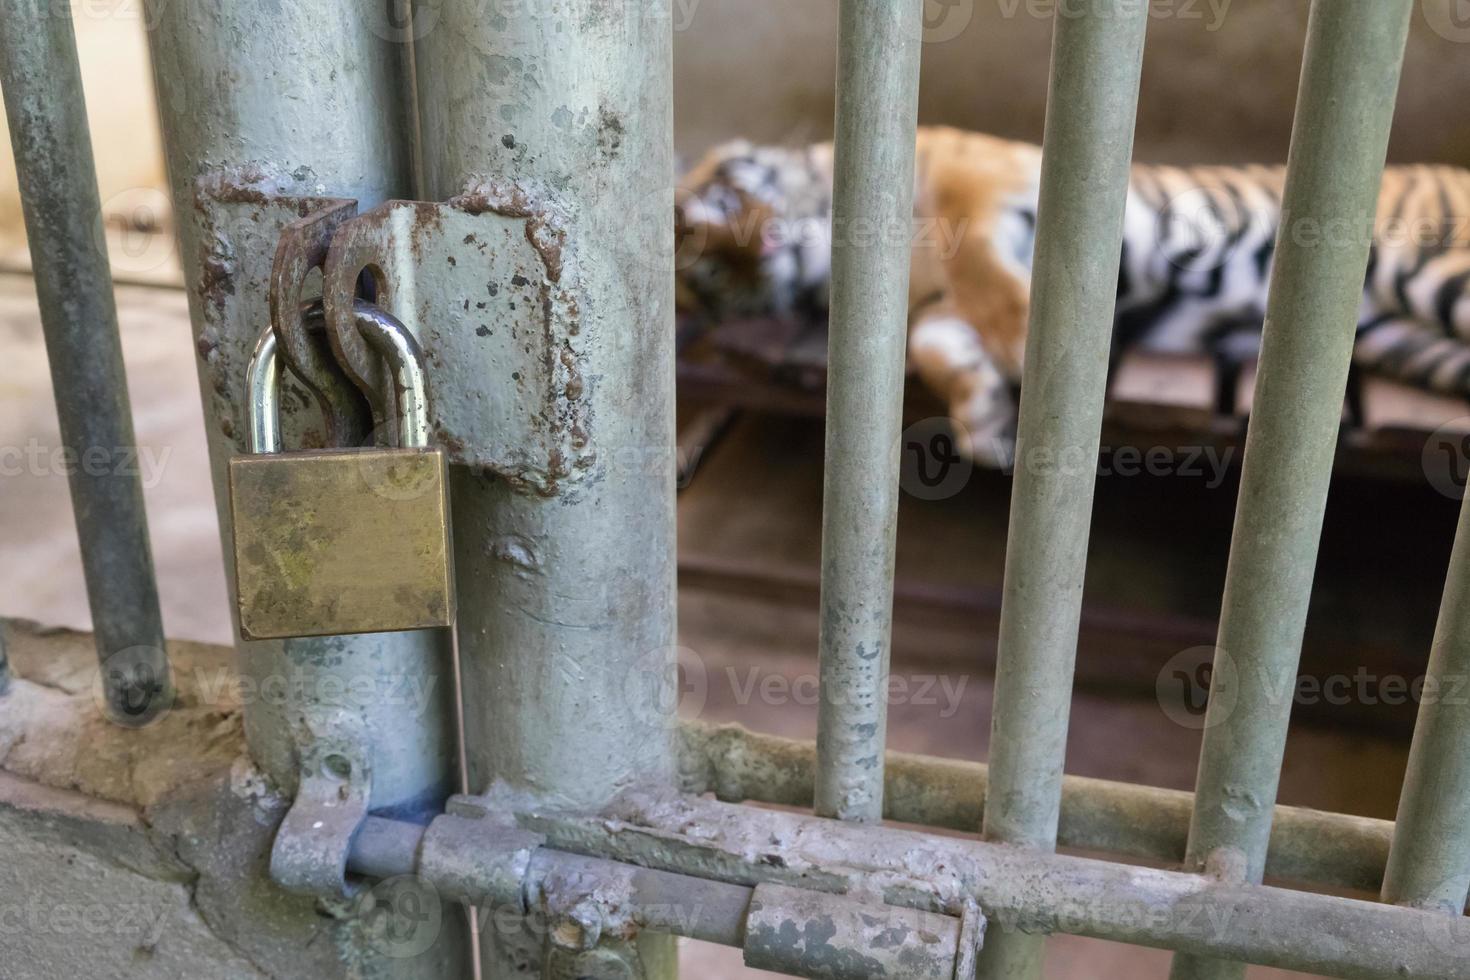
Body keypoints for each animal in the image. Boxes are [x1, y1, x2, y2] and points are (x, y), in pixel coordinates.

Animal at [676, 125, 1470, 467]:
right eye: (712, 274)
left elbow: (978, 258)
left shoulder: (982, 173)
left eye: (724, 201)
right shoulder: (926, 310)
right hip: (1409, 335)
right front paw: (984, 419)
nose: (761, 249)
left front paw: (1023, 343)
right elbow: (935, 344)